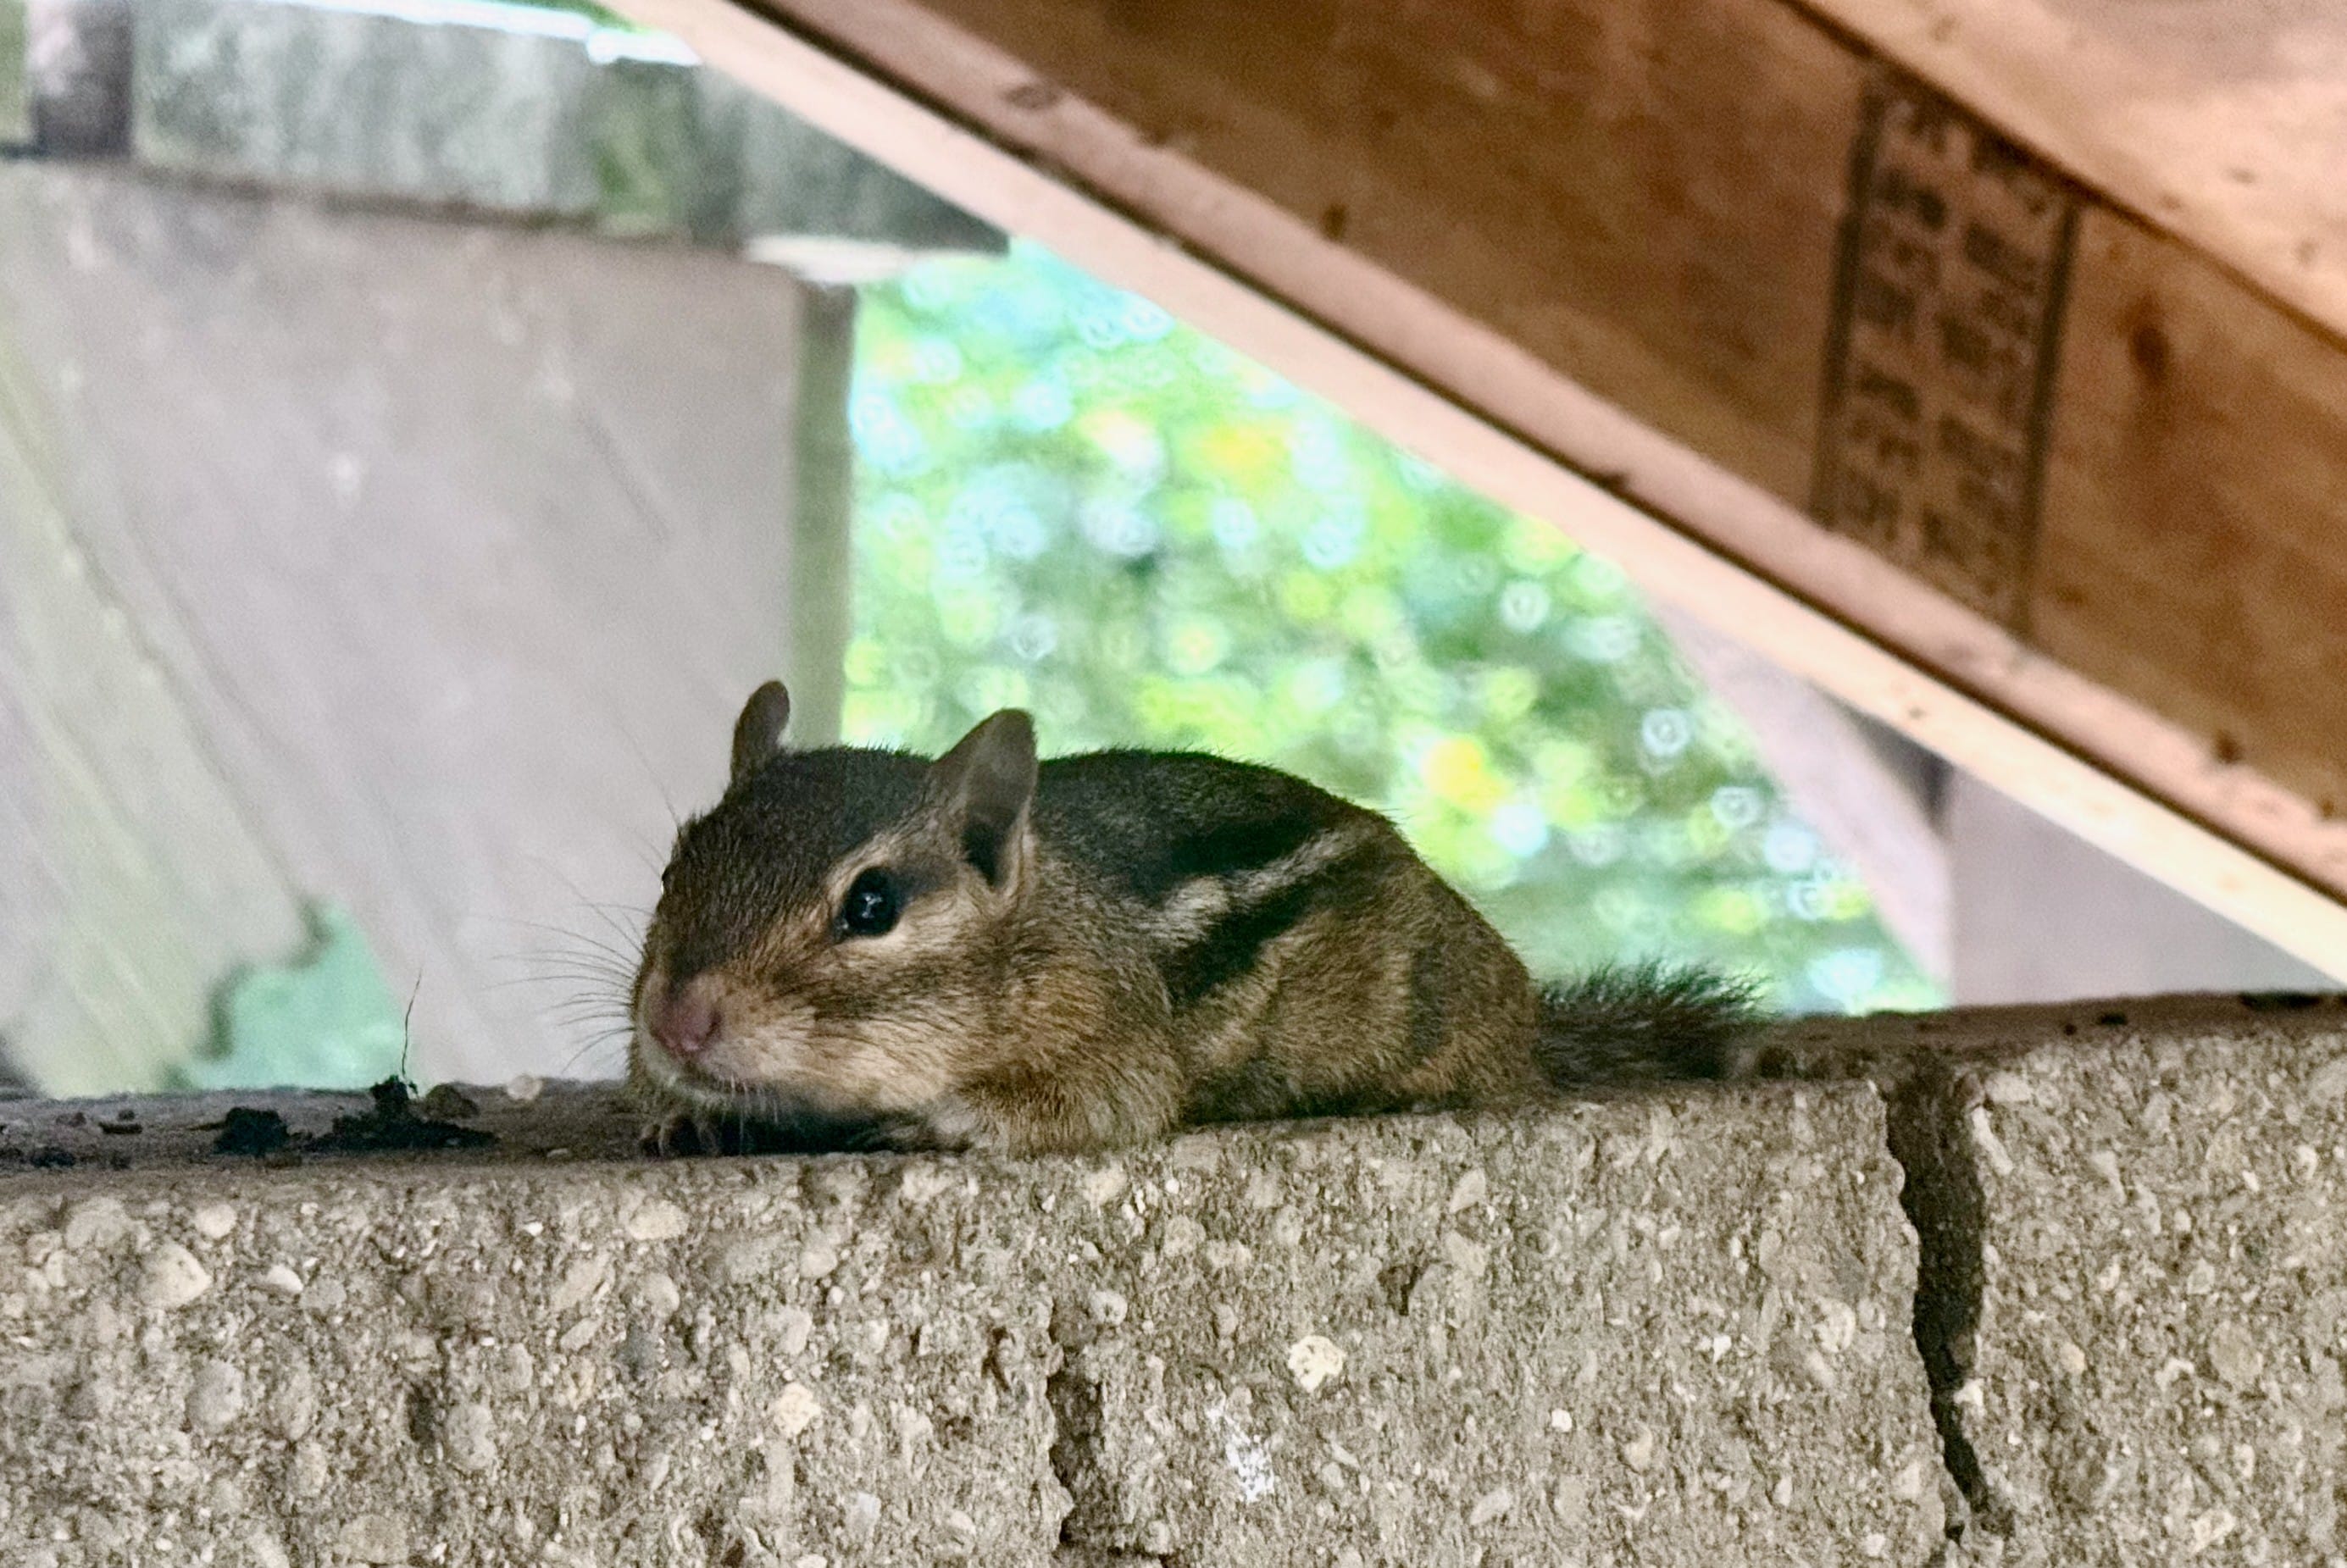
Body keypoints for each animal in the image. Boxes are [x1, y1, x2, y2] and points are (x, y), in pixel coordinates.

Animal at [629, 680, 1766, 1158]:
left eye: (872, 904)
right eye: (674, 864)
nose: (675, 1020)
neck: (1040, 918)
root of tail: (1525, 1019)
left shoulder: (1112, 1035)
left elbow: (1107, 1107)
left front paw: (941, 1119)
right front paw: (684, 1112)